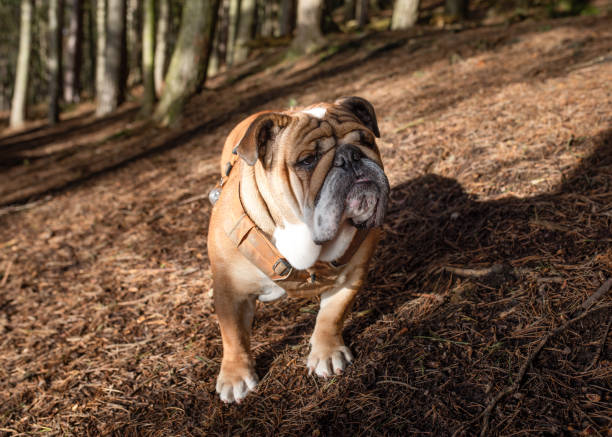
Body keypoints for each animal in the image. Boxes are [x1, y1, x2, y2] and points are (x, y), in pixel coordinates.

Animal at [208, 97, 390, 404]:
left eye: (366, 141)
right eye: (307, 160)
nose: (350, 156)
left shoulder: (351, 276)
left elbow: (331, 316)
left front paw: (326, 352)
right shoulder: (229, 290)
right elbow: (233, 336)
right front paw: (235, 376)